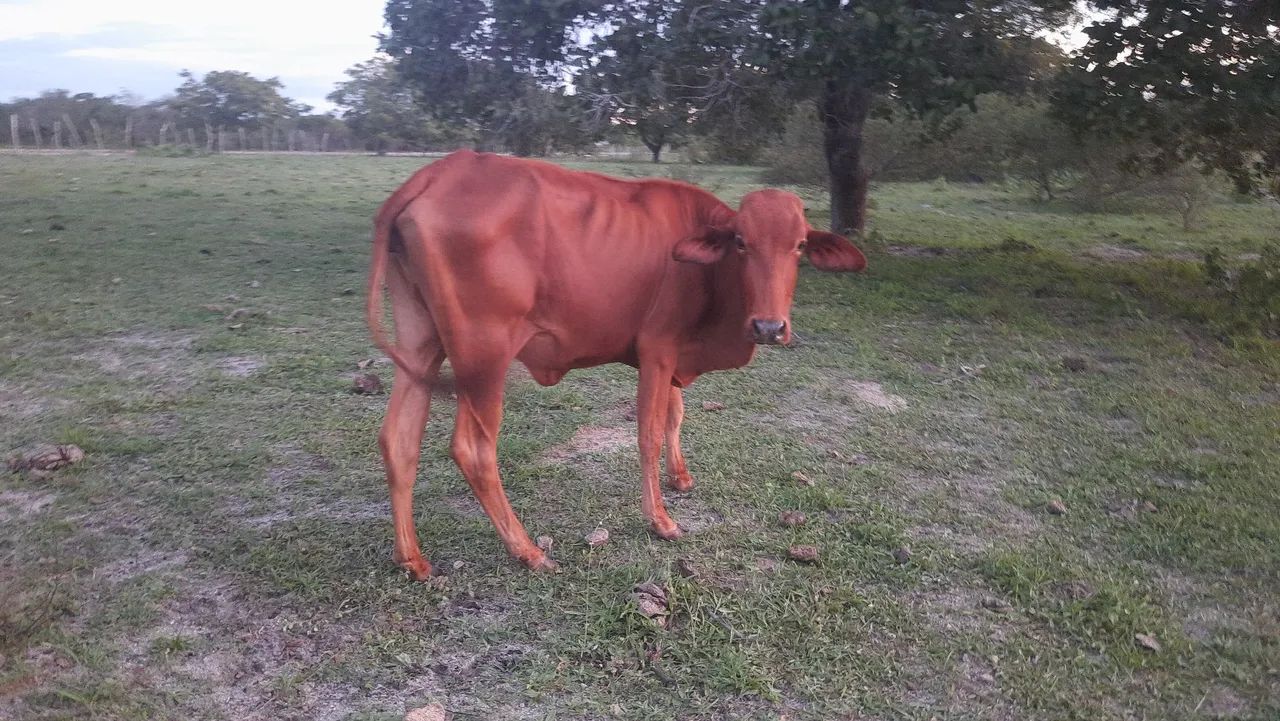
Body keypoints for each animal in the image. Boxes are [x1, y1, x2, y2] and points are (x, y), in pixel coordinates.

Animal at [367, 150, 866, 579]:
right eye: (742, 243)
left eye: (799, 245)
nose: (768, 326)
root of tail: (438, 172)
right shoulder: (657, 350)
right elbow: (648, 432)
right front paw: (660, 519)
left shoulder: (674, 355)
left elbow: (676, 415)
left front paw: (680, 477)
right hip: (484, 357)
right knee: (474, 450)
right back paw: (527, 550)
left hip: (422, 344)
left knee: (399, 440)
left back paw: (411, 558)